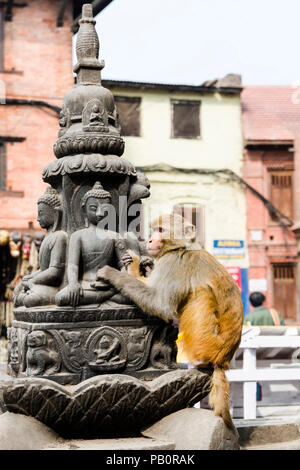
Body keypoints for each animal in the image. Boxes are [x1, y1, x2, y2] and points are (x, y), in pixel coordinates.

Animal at [97, 215, 245, 428]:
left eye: (160, 229)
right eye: (153, 229)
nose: (149, 239)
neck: (181, 247)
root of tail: (223, 360)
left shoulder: (173, 263)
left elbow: (159, 303)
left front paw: (114, 274)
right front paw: (140, 264)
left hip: (208, 343)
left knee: (199, 295)